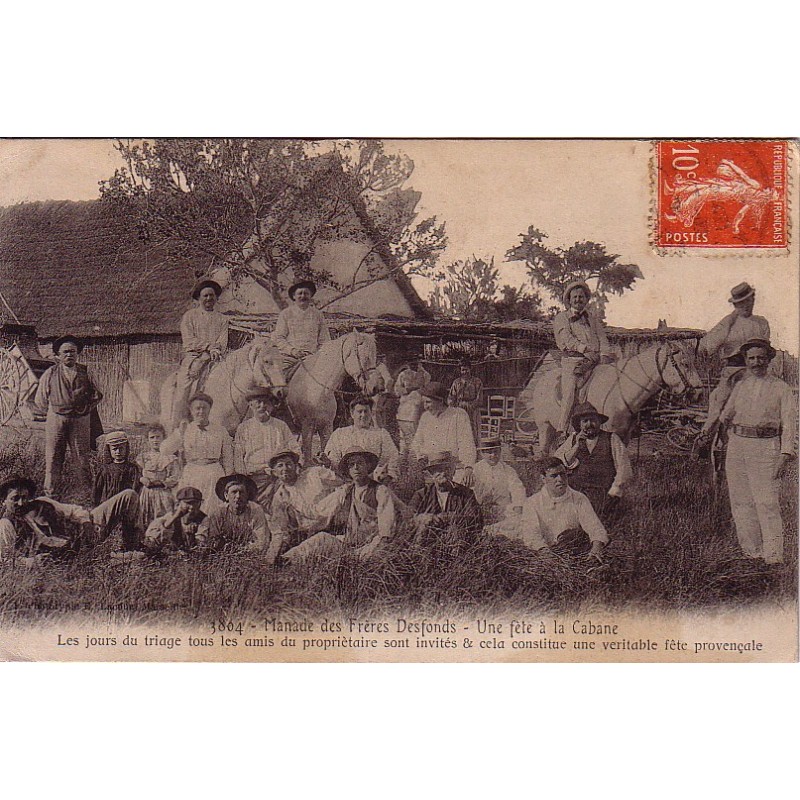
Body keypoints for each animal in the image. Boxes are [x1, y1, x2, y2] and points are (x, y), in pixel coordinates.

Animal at [284, 330, 382, 462]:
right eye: (365, 357)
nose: (375, 387)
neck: (318, 390)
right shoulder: (307, 427)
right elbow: (308, 461)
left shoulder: (327, 427)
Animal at [520, 340, 700, 456]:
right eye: (684, 363)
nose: (698, 392)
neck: (623, 391)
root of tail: (541, 380)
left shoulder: (624, 437)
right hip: (544, 427)